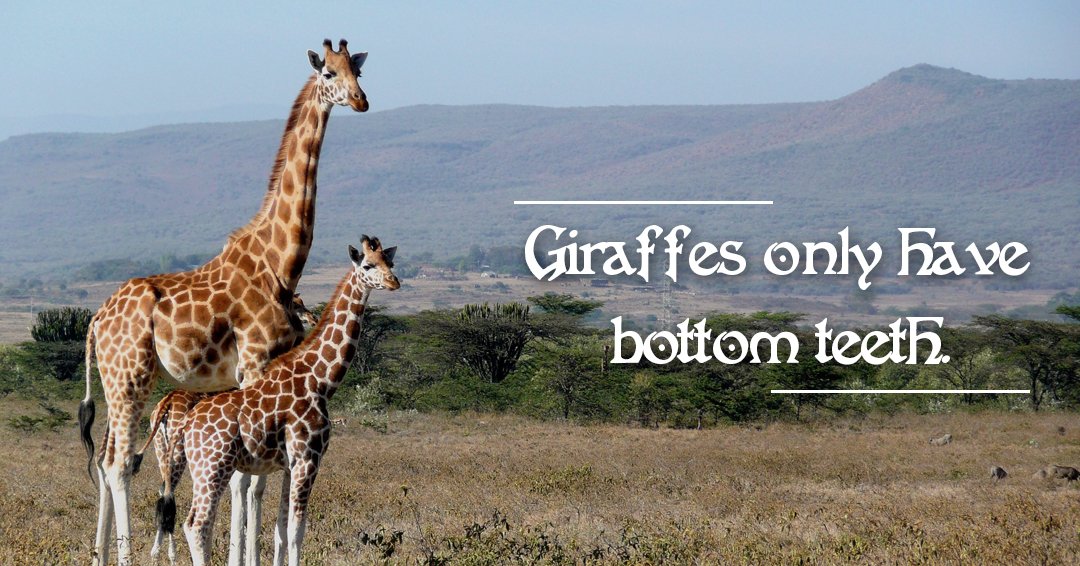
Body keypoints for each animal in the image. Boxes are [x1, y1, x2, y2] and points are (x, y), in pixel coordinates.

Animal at [141, 295, 317, 565]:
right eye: (297, 304)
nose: (312, 319)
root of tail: (166, 405)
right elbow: (249, 490)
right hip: (180, 454)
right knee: (171, 494)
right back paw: (170, 553)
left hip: (163, 451)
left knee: (163, 492)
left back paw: (158, 552)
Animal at [159, 237, 398, 566]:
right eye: (367, 265)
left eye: (391, 262)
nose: (394, 282)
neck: (320, 380)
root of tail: (186, 425)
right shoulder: (308, 458)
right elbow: (298, 531)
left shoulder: (289, 464)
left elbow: (281, 530)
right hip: (213, 467)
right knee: (196, 524)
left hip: (199, 468)